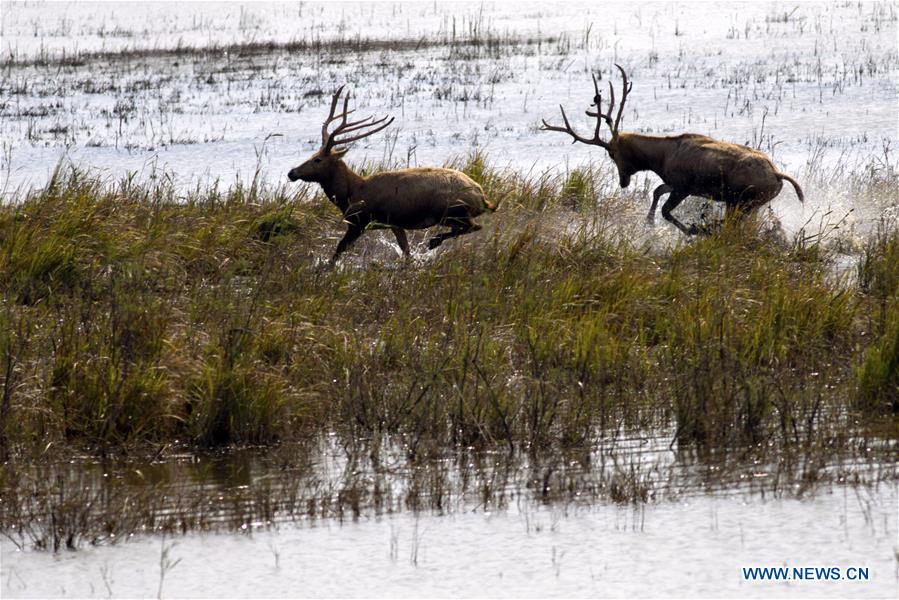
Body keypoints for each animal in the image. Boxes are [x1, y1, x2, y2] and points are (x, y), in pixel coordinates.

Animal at [288, 86, 496, 260]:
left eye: (317, 159)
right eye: (312, 154)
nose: (292, 172)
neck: (350, 194)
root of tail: (483, 198)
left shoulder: (360, 221)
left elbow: (338, 251)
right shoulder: (395, 224)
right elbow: (406, 252)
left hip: (449, 211)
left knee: (474, 226)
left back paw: (434, 241)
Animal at [536, 65, 804, 234]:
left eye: (612, 153)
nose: (623, 182)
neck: (661, 157)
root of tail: (778, 174)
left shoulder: (685, 185)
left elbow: (666, 210)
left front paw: (694, 230)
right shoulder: (674, 183)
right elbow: (656, 191)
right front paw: (649, 222)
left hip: (742, 200)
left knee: (737, 224)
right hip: (748, 203)